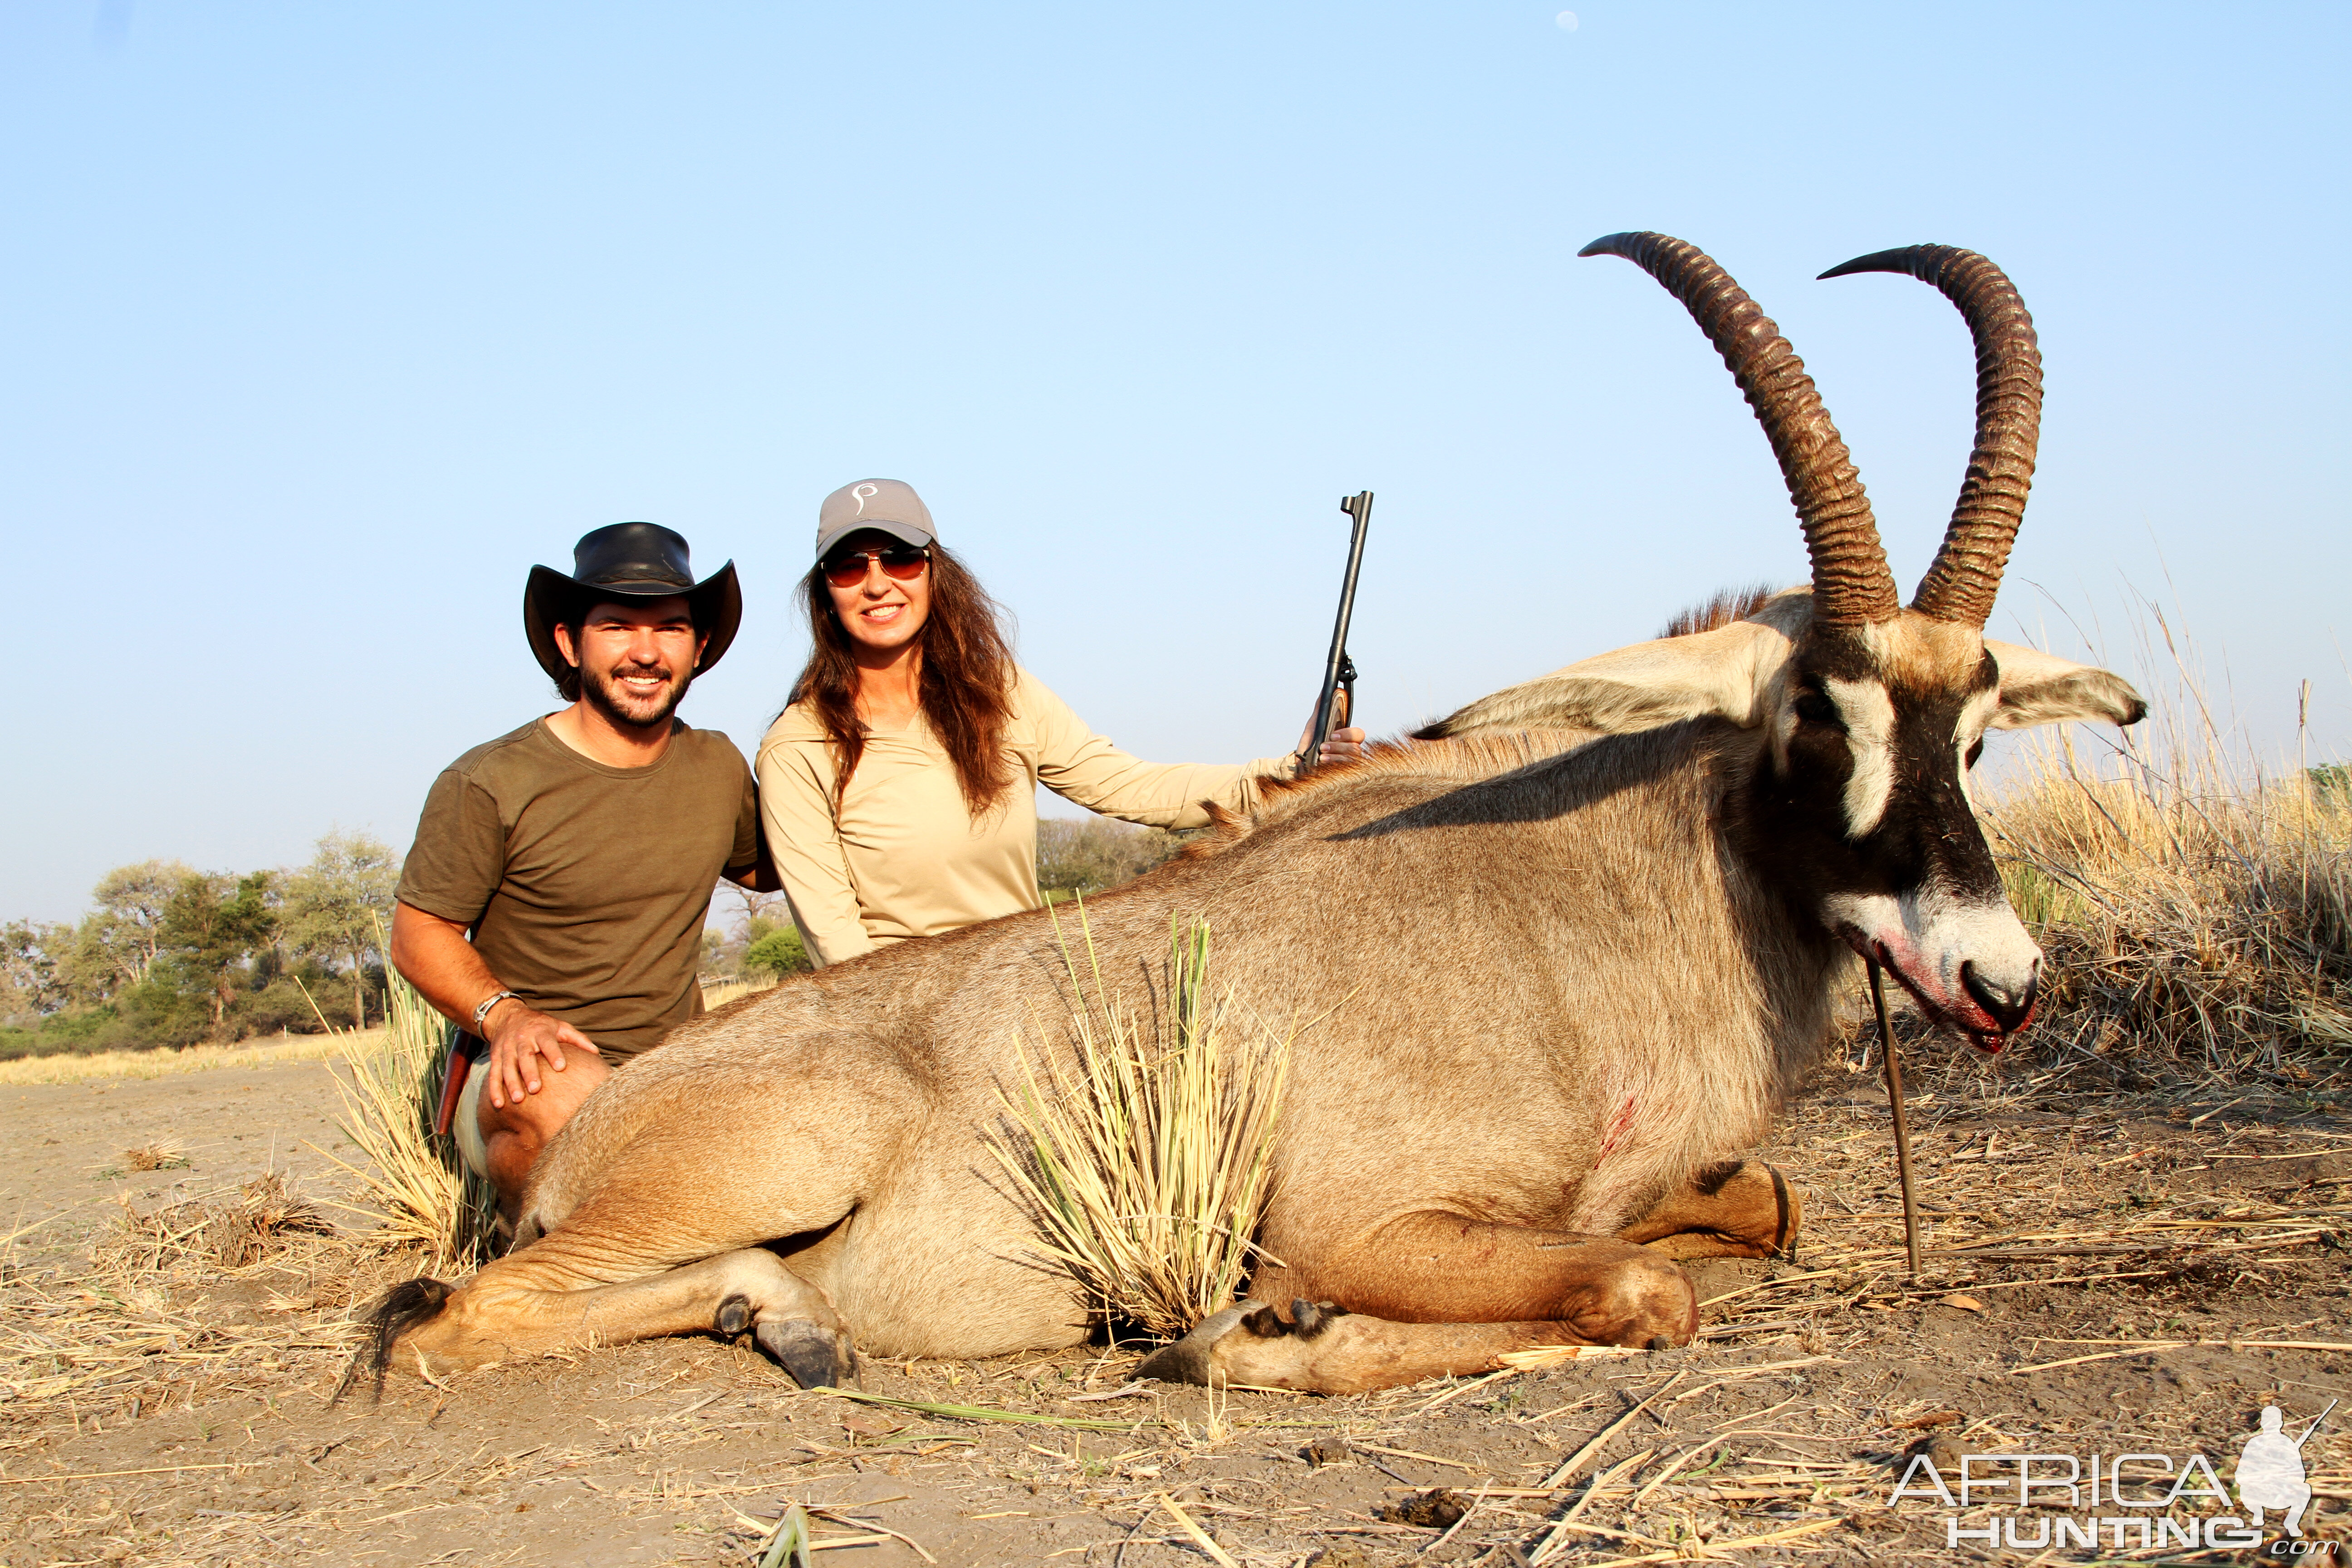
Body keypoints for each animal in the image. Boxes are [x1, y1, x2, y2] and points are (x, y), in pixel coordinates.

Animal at [372, 236, 2154, 1401]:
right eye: (1814, 718)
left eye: (1975, 732)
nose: (2002, 983)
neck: (1576, 899)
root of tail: (610, 1109)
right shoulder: (1365, 1219)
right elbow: (1643, 1287)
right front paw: (1263, 1332)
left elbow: (1759, 1208)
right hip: (764, 1163)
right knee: (456, 1321)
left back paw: (785, 1320)